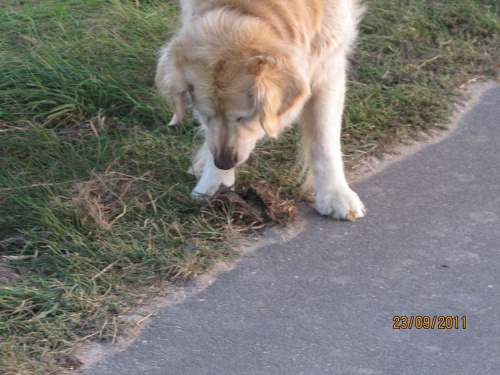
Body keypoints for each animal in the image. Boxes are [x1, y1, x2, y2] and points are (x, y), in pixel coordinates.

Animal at [154, 0, 366, 220]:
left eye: (244, 117)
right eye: (205, 115)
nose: (224, 163)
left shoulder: (328, 65)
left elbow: (324, 142)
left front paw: (335, 193)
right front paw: (214, 183)